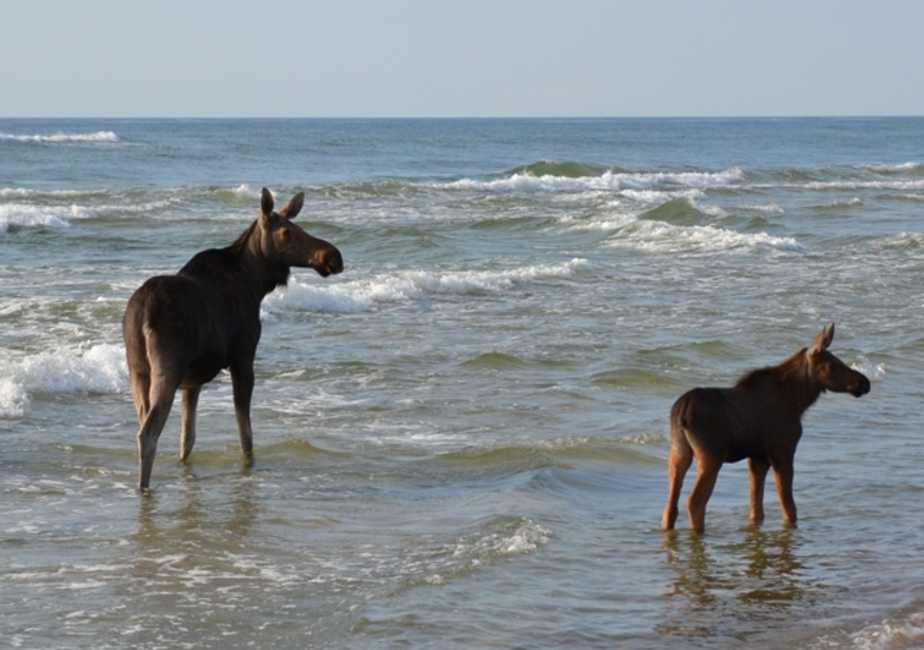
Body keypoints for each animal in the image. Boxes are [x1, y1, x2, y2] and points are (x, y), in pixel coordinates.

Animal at [121, 185, 342, 488]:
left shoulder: (193, 381)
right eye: (287, 232)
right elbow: (245, 435)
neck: (255, 283)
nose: (334, 256)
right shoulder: (243, 358)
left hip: (137, 370)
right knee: (148, 433)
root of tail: (142, 313)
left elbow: (187, 439)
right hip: (167, 368)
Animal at [660, 324, 868, 532]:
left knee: (670, 506)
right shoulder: (782, 453)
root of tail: (682, 410)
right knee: (695, 502)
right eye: (832, 364)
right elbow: (789, 508)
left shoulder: (757, 458)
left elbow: (756, 509)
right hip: (711, 456)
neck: (798, 401)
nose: (864, 382)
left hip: (679, 451)